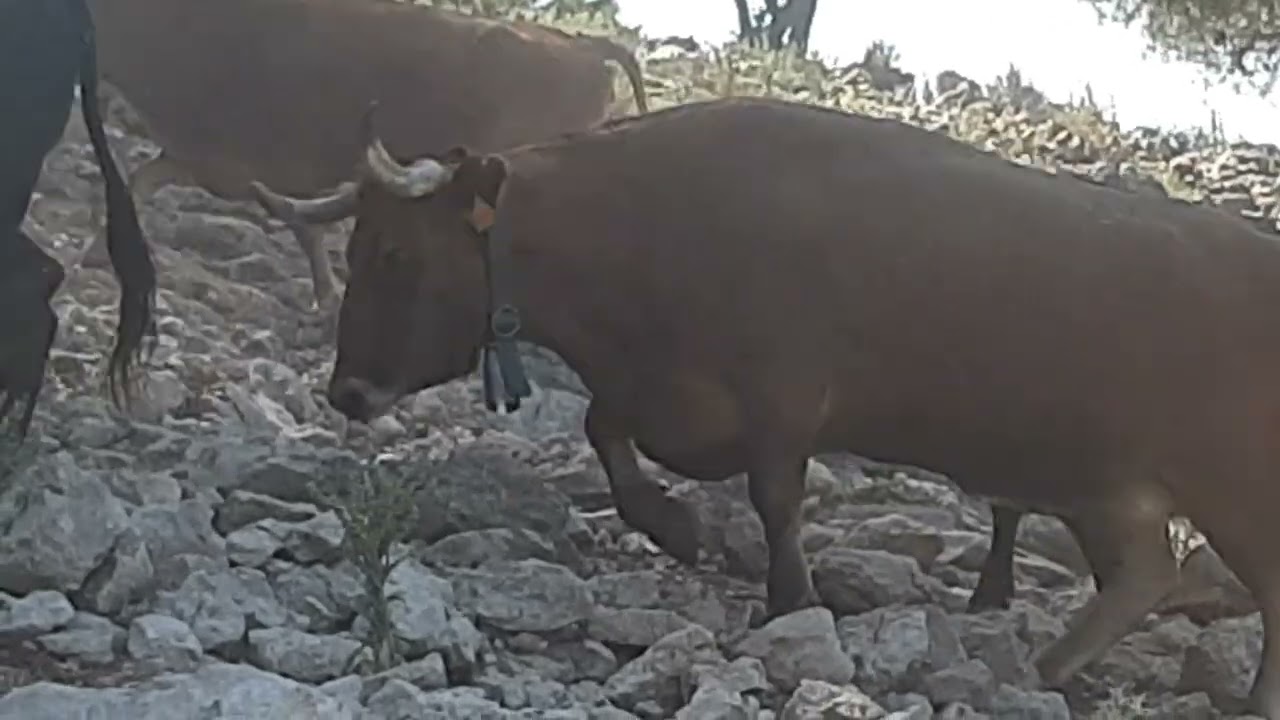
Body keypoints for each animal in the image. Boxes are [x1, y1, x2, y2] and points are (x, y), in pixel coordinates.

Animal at [255, 95, 1280, 715]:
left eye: (395, 253)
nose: (348, 391)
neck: (647, 229)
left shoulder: (782, 399)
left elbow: (776, 500)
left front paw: (791, 598)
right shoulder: (660, 392)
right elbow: (602, 430)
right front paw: (671, 525)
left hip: (1232, 489)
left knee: (1248, 588)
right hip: (1109, 487)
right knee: (1142, 573)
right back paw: (1053, 667)